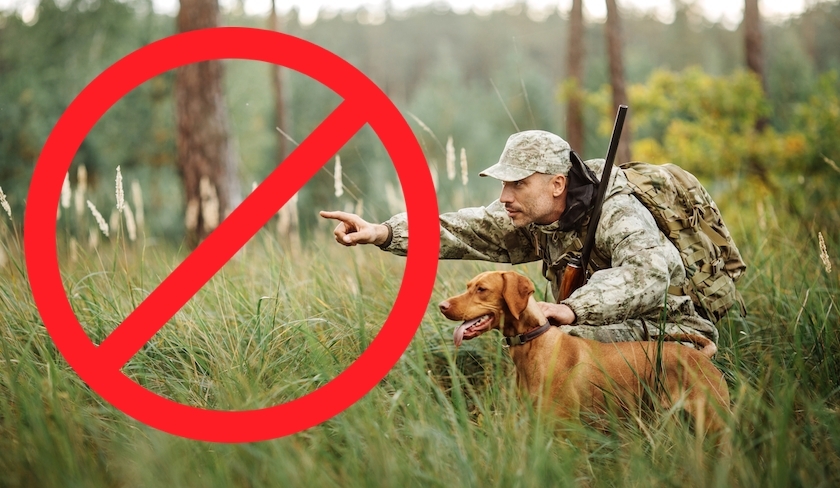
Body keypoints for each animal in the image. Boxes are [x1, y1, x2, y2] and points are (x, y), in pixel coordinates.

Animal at [440, 268, 728, 432]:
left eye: (482, 289)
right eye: (468, 286)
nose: (442, 306)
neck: (534, 344)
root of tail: (701, 356)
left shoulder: (564, 430)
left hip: (713, 422)